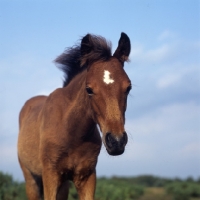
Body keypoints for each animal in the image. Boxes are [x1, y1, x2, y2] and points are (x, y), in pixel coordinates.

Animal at [17, 32, 131, 199]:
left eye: (128, 87)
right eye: (89, 89)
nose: (116, 141)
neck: (71, 132)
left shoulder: (87, 176)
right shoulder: (50, 175)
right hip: (31, 179)